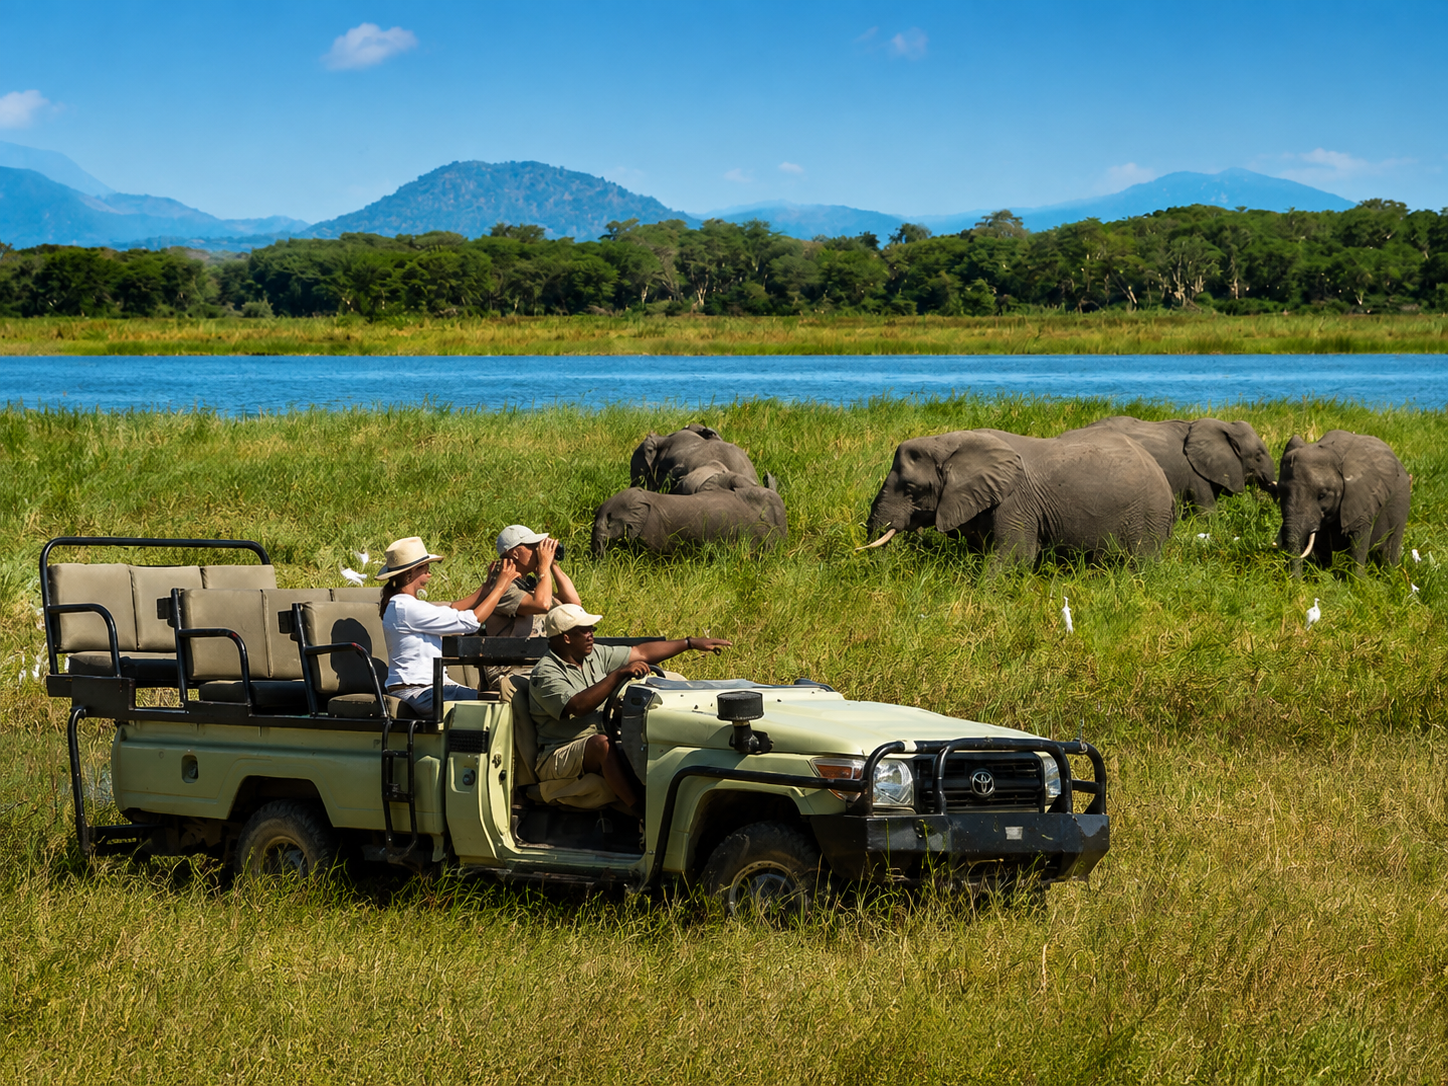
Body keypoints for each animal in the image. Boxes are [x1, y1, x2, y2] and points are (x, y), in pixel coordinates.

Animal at [1274, 429, 1411, 575]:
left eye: (1322, 495)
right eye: (1280, 492)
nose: (1294, 579)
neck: (1332, 451)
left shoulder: (1361, 495)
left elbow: (1358, 539)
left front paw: (1357, 579)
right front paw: (1322, 574)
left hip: (1402, 498)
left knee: (1392, 545)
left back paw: (1390, 575)